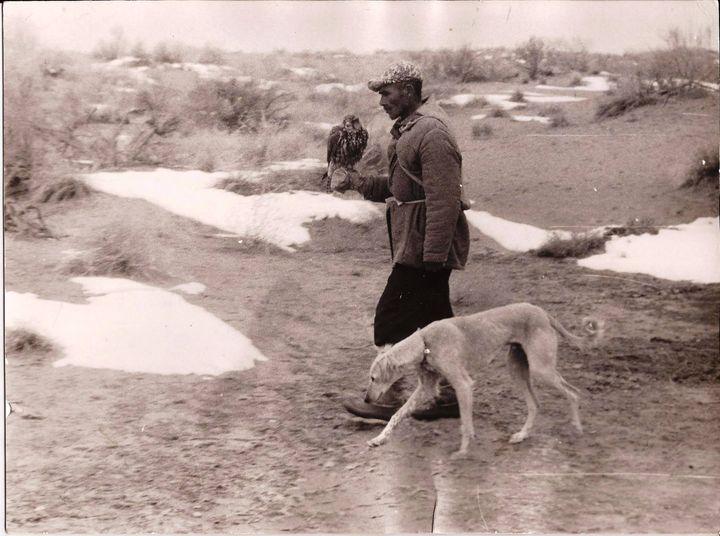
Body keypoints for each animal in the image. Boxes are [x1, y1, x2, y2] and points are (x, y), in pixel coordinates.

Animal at [364, 303, 603, 458]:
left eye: (373, 378)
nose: (366, 400)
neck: (425, 343)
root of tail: (543, 312)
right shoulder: (426, 388)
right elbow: (396, 415)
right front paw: (379, 439)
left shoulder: (463, 385)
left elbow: (465, 423)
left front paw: (462, 451)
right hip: (517, 369)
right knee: (535, 404)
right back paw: (522, 435)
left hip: (541, 370)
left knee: (573, 393)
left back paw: (577, 429)